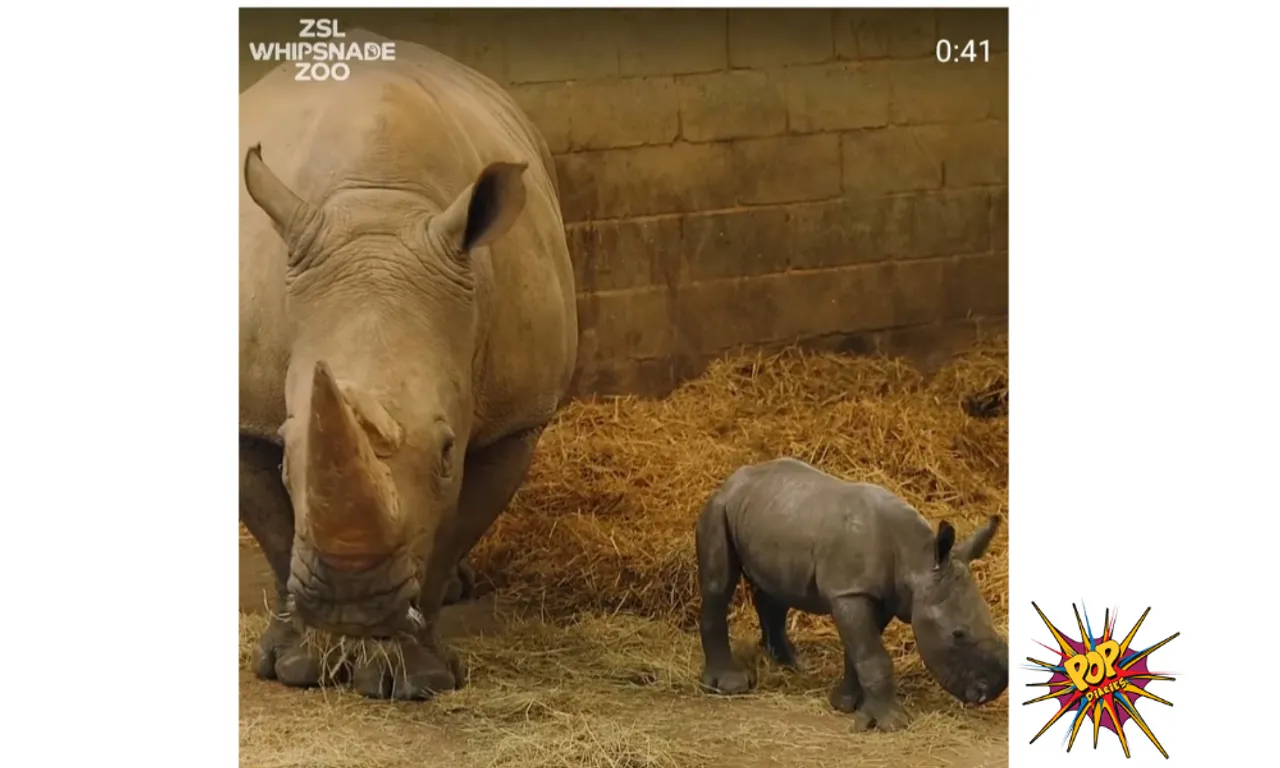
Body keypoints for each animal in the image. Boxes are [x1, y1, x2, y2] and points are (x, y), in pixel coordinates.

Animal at [238, 31, 578, 701]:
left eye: (448, 451)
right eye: (288, 451)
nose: (350, 605)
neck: (379, 205)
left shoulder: (516, 419)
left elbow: (452, 528)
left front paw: (414, 678)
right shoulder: (247, 409)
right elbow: (274, 528)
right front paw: (294, 667)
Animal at [696, 458, 1003, 727]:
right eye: (958, 634)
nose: (993, 690)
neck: (917, 559)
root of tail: (734, 479)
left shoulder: (879, 595)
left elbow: (860, 650)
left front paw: (844, 704)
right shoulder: (849, 593)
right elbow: (873, 656)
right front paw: (891, 723)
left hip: (777, 515)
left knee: (778, 589)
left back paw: (794, 665)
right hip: (719, 508)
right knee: (718, 586)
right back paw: (731, 686)